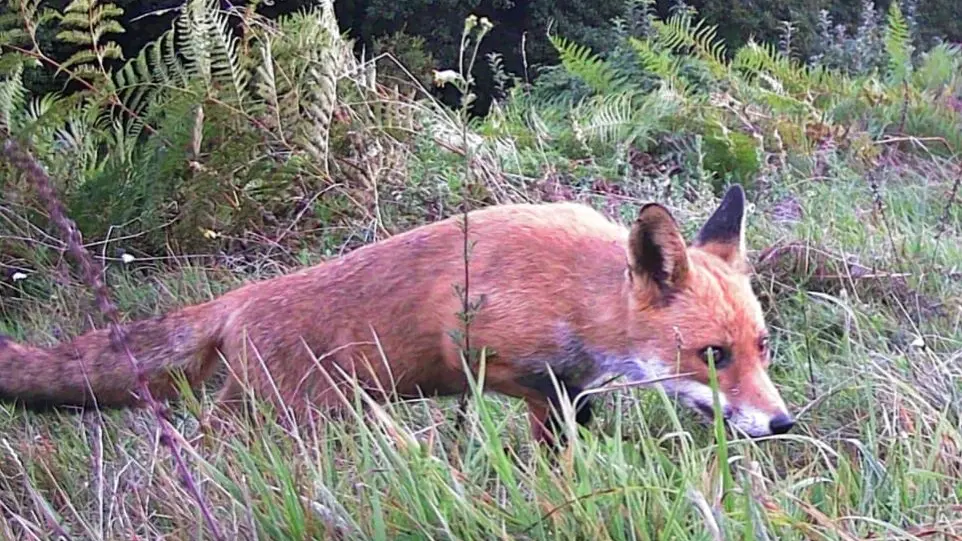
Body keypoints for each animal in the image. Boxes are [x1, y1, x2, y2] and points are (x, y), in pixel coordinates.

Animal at [0, 184, 794, 445]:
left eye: (761, 346)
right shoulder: (486, 354)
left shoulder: (568, 383)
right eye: (713, 355)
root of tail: (240, 299)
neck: (575, 292)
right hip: (304, 413)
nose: (783, 424)